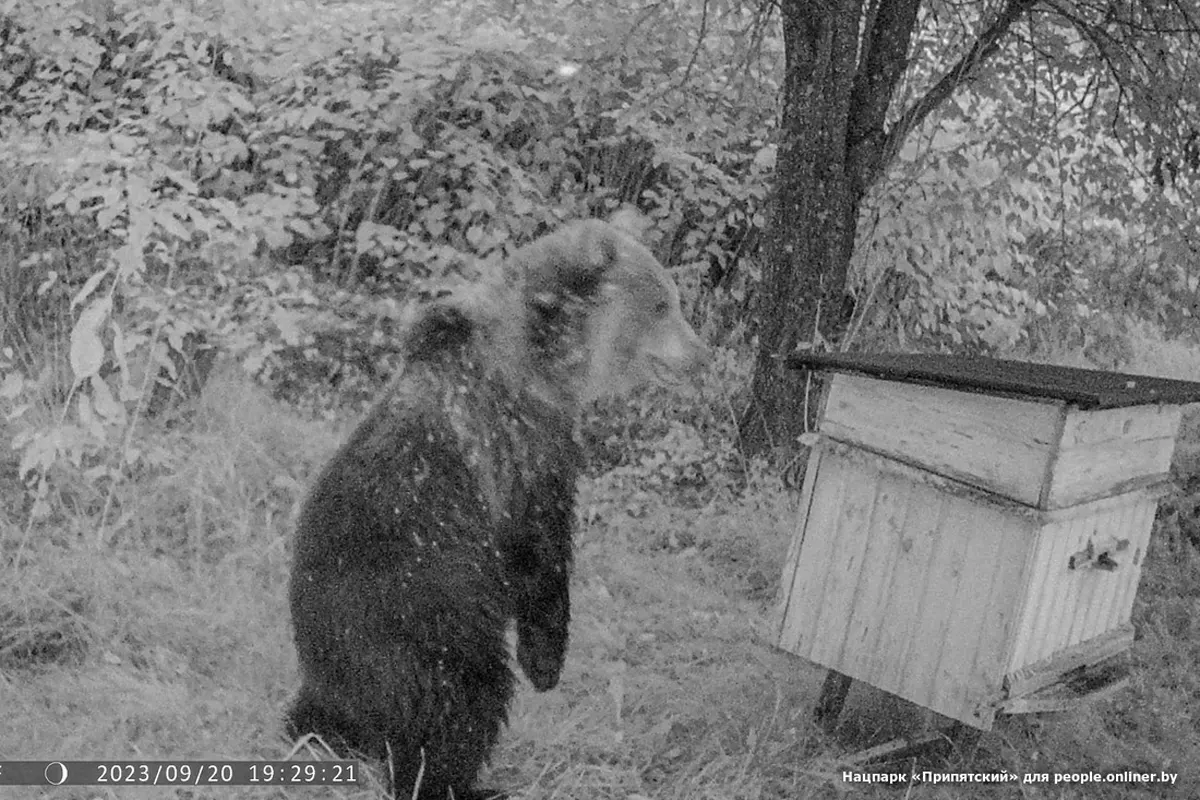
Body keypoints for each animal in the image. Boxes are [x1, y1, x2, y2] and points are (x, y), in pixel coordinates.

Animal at [285, 211, 705, 800]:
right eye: (664, 304)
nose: (701, 355)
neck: (548, 358)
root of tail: (331, 685)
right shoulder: (520, 447)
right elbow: (541, 550)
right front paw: (546, 662)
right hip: (416, 630)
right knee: (460, 705)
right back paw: (463, 783)